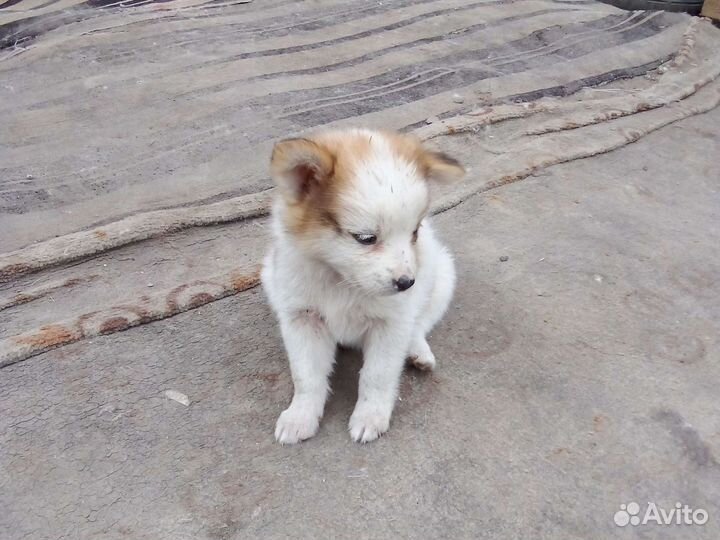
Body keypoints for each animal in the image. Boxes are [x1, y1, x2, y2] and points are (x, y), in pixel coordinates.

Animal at [262, 127, 464, 442]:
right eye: (366, 238)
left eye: (414, 232)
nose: (407, 283)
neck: (342, 281)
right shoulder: (302, 318)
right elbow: (306, 376)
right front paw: (300, 415)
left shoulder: (391, 323)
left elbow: (377, 376)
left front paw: (371, 415)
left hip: (442, 276)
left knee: (419, 324)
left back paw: (418, 351)